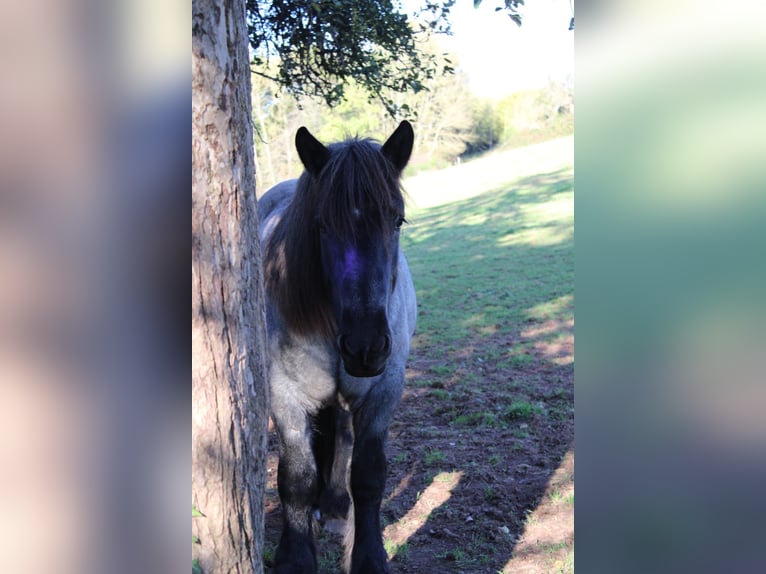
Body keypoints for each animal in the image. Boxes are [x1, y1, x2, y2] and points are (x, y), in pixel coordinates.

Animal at [260, 121, 420, 574]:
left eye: (397, 219)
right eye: (321, 226)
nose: (366, 346)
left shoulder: (383, 390)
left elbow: (368, 475)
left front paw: (369, 558)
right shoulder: (284, 395)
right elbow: (296, 479)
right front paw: (295, 559)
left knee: (343, 437)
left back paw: (333, 505)